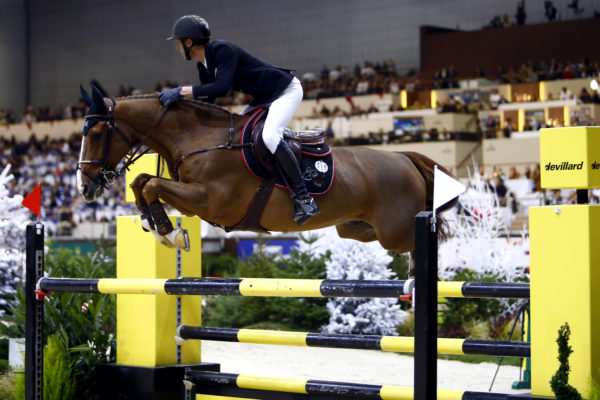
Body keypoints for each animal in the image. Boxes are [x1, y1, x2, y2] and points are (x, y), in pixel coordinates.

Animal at [76, 85, 454, 272]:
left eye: (94, 133)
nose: (85, 187)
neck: (199, 137)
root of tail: (404, 157)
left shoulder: (210, 201)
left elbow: (151, 183)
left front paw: (170, 232)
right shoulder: (194, 200)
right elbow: (141, 182)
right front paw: (156, 225)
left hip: (395, 230)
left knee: (425, 242)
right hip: (356, 228)